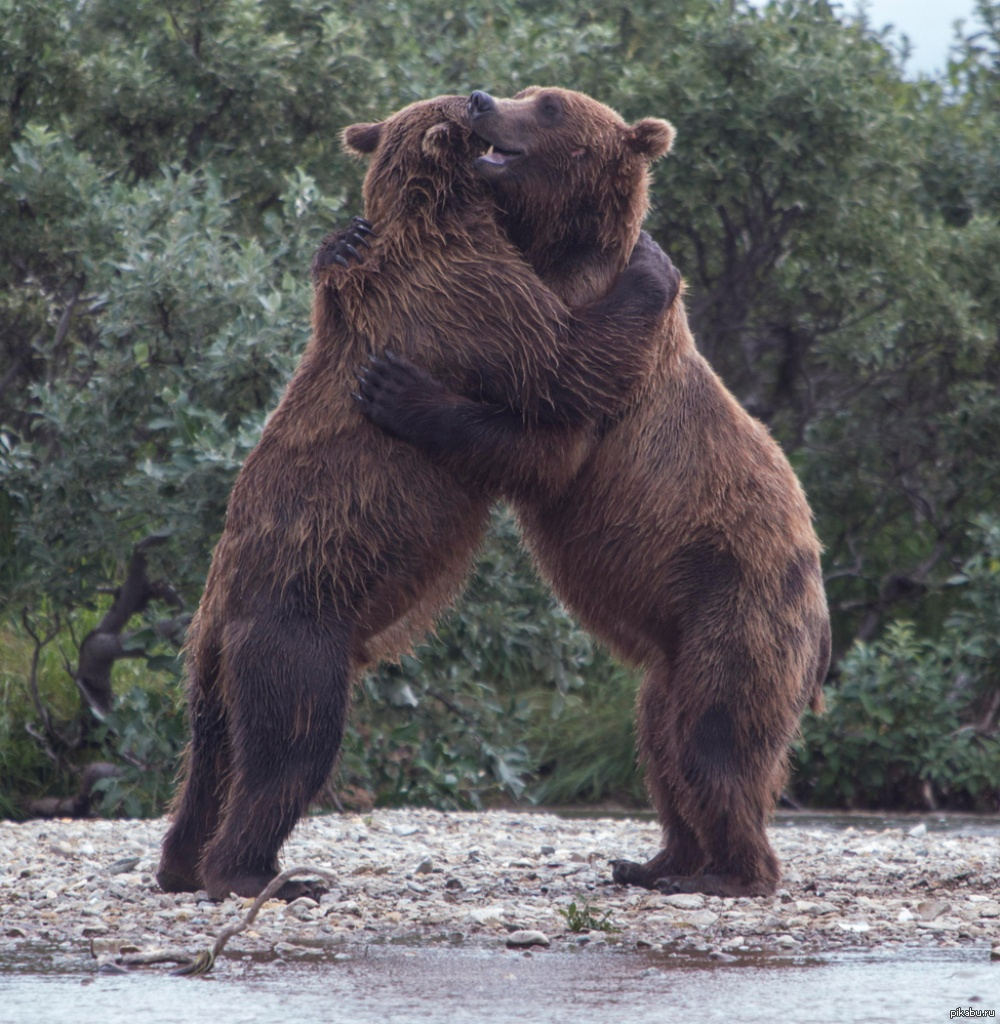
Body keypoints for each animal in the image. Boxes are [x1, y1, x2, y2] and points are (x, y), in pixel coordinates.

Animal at [155, 92, 679, 901]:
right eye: (465, 106)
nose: (480, 94)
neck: (437, 217)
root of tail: (217, 619)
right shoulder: (471, 297)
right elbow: (561, 361)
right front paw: (649, 267)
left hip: (211, 663)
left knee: (210, 755)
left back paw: (181, 863)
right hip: (297, 628)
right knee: (291, 747)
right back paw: (260, 873)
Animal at [354, 90, 831, 905]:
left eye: (547, 107)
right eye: (528, 91)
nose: (482, 98)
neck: (560, 255)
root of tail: (825, 615)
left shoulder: (597, 364)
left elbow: (546, 439)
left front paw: (399, 388)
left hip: (738, 607)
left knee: (715, 738)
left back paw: (729, 873)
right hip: (675, 654)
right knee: (661, 743)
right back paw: (656, 860)